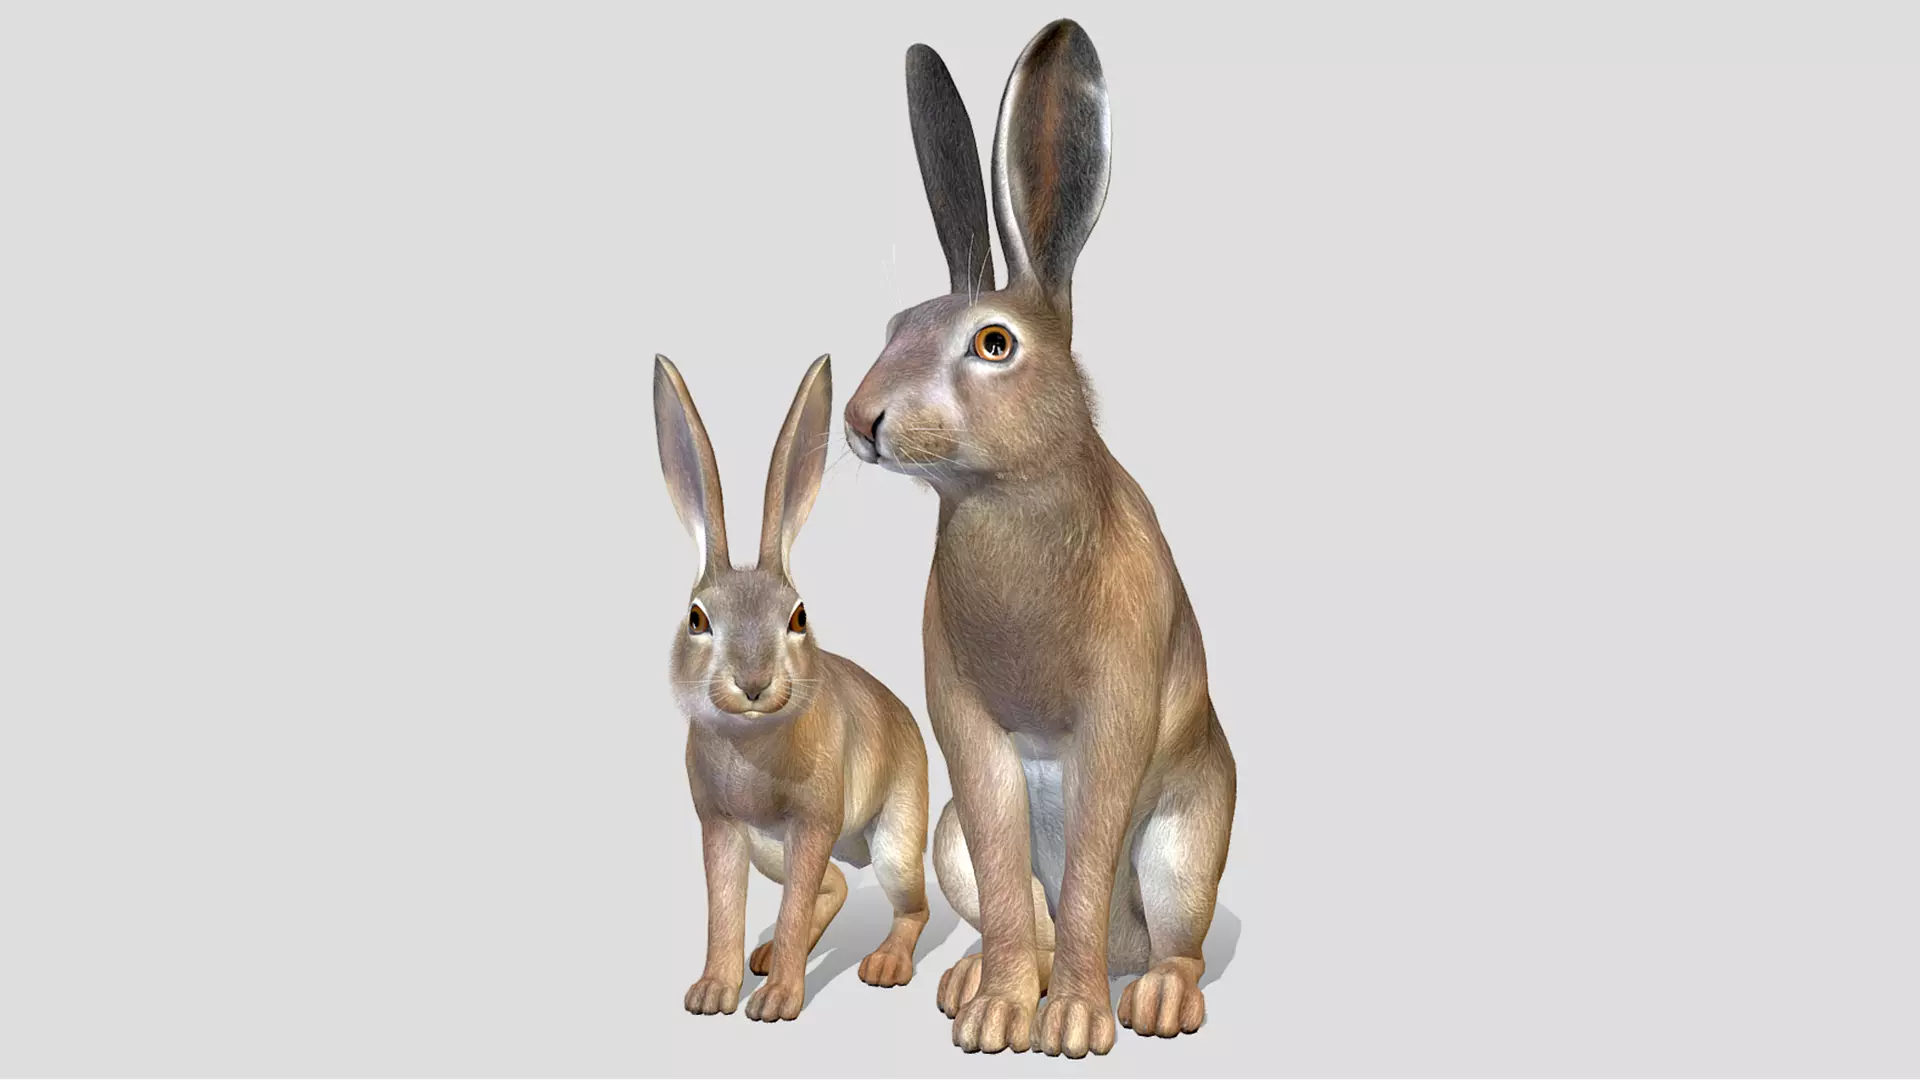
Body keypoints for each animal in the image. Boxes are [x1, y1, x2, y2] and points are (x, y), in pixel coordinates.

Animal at [654, 353, 931, 1023]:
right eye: (697, 619)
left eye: (799, 616)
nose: (753, 682)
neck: (750, 743)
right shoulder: (723, 828)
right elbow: (724, 911)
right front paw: (713, 993)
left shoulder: (811, 822)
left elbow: (795, 902)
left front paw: (777, 1002)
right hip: (771, 852)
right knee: (834, 886)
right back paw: (772, 953)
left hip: (895, 841)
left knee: (908, 904)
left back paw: (883, 965)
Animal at [841, 20, 1237, 1058]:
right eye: (896, 324)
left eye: (993, 346)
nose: (862, 419)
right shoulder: (967, 731)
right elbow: (1003, 853)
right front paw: (998, 1018)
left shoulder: (1116, 717)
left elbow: (1093, 857)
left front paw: (1075, 1027)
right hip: (946, 840)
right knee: (1021, 904)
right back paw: (974, 979)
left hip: (1187, 841)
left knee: (1167, 937)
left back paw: (1153, 998)